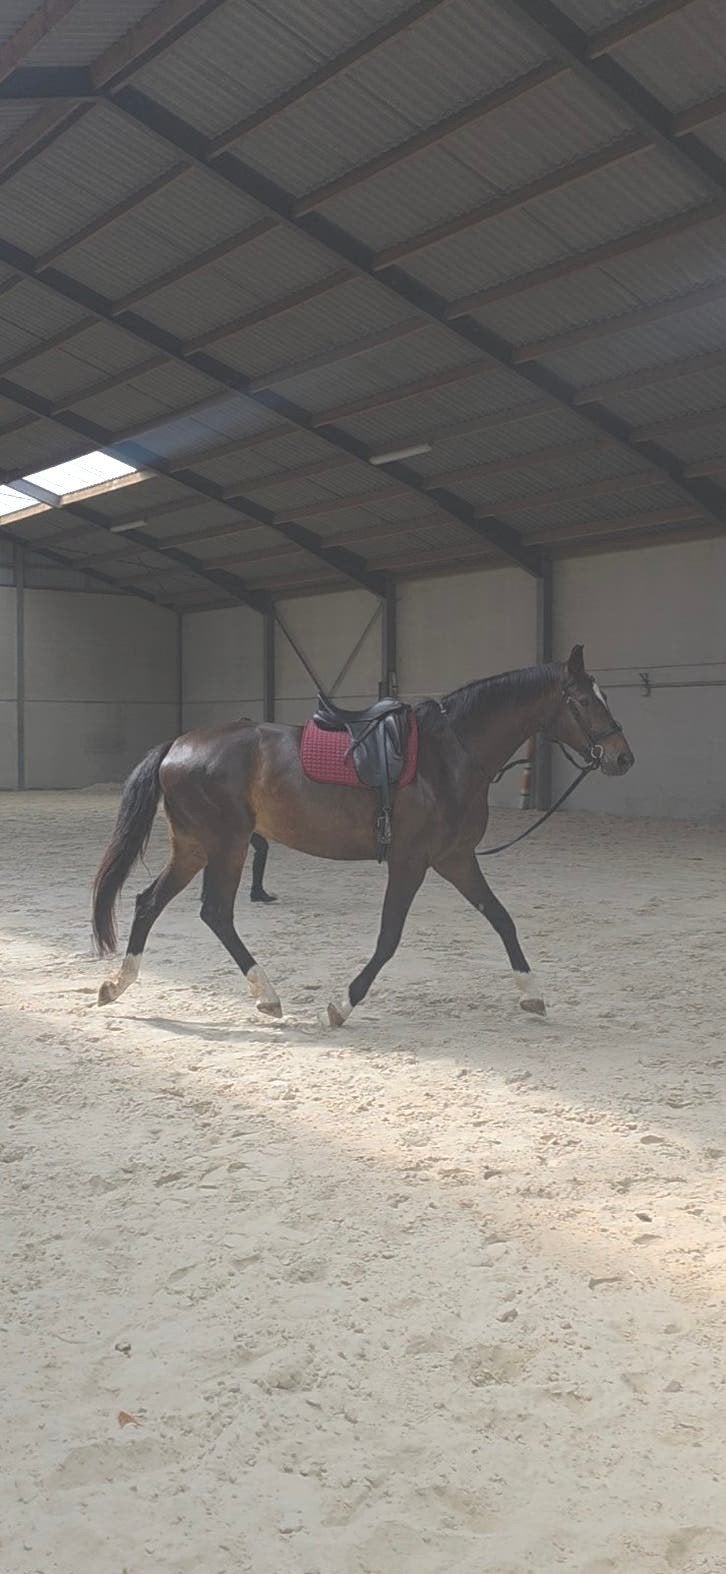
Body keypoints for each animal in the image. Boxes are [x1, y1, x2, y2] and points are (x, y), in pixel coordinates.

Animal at [92, 644, 633, 1024]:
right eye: (584, 701)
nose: (622, 757)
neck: (448, 756)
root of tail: (178, 744)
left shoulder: (456, 858)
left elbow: (502, 919)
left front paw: (533, 994)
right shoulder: (411, 861)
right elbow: (390, 937)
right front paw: (342, 1006)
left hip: (195, 847)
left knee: (150, 903)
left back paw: (119, 984)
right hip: (225, 845)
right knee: (214, 913)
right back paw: (266, 994)